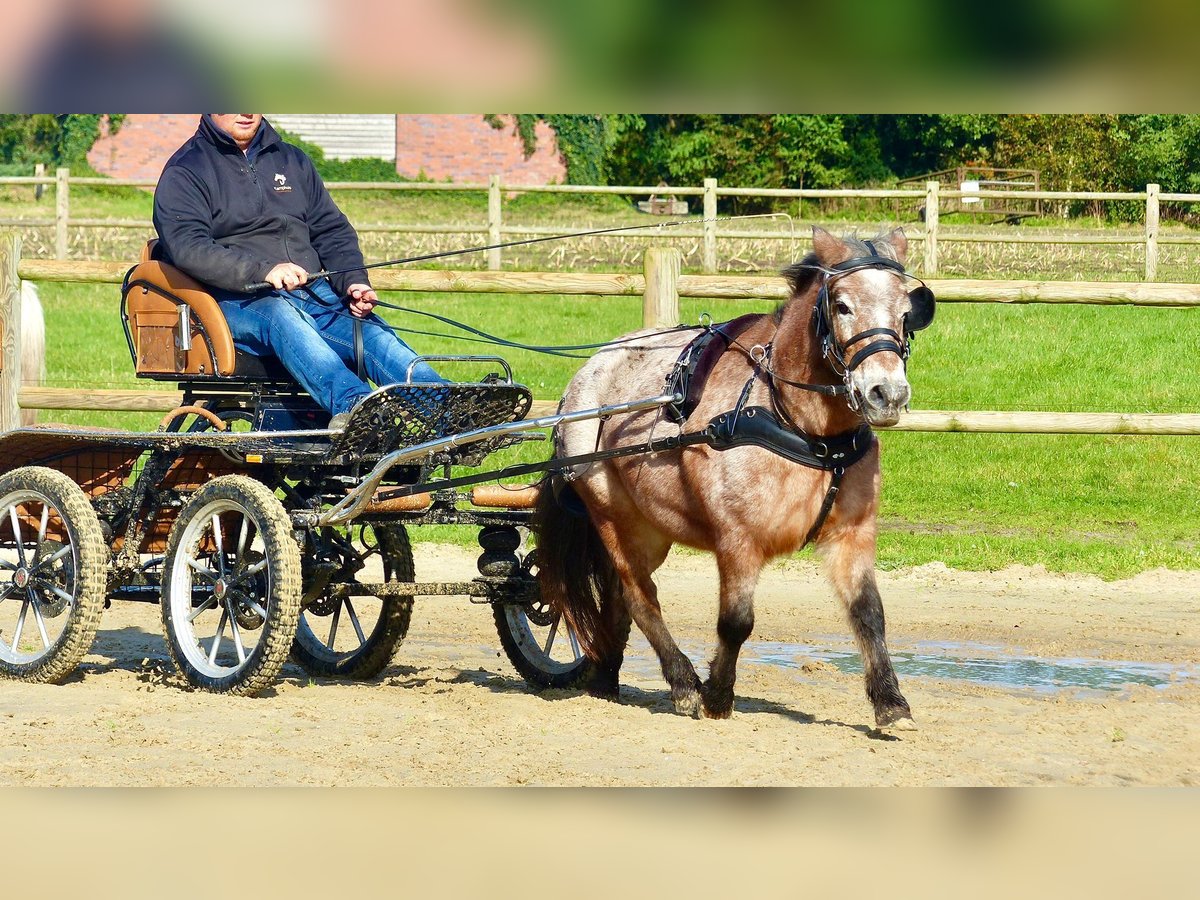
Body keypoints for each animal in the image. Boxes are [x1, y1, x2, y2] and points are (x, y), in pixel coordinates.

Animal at [535, 225, 936, 734]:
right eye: (842, 305)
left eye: (906, 312)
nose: (887, 393)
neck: (798, 424)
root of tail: (586, 376)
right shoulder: (737, 540)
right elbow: (736, 622)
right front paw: (716, 696)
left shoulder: (852, 534)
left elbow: (869, 614)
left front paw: (890, 702)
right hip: (613, 516)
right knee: (639, 596)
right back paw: (683, 683)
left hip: (651, 529)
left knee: (619, 595)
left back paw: (607, 675)